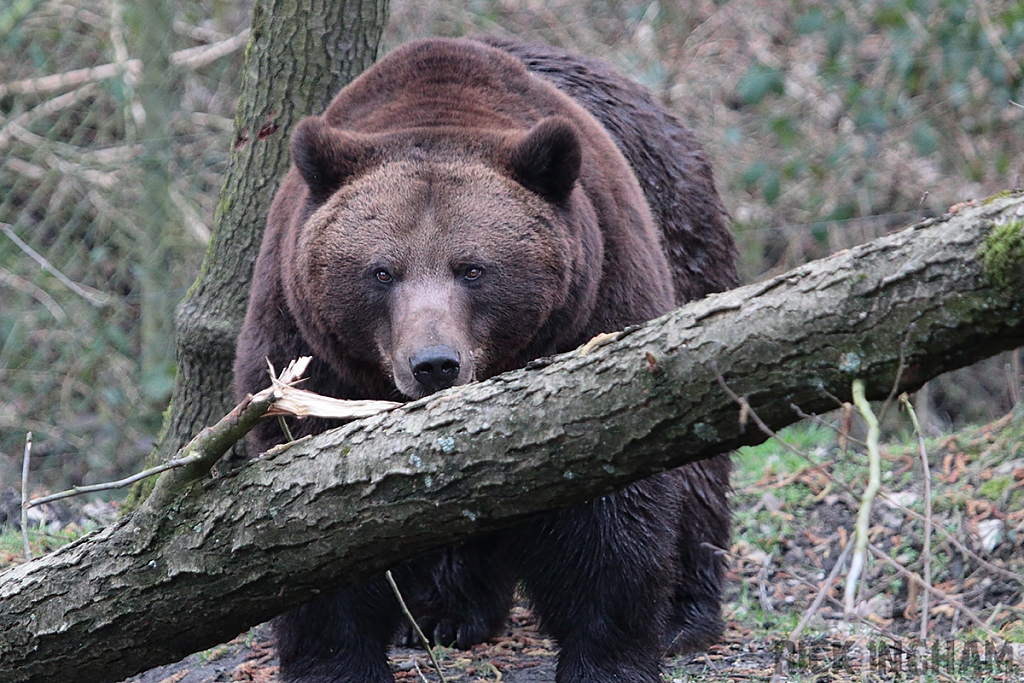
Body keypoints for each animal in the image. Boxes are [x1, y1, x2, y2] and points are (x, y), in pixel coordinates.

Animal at [234, 37, 737, 683]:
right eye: (381, 272)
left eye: (473, 268)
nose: (433, 364)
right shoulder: (310, 354)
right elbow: (309, 514)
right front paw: (336, 658)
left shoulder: (597, 315)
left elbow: (610, 516)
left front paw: (610, 655)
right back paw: (446, 614)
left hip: (684, 243)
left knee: (697, 465)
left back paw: (684, 614)